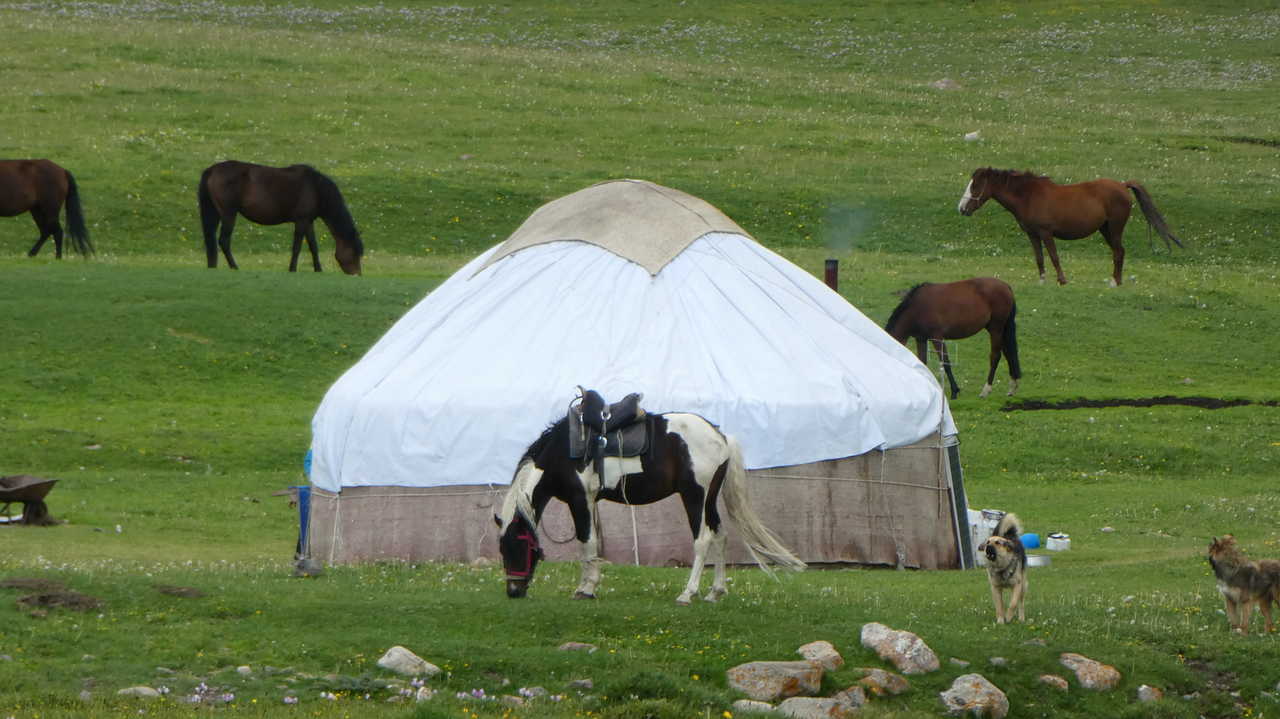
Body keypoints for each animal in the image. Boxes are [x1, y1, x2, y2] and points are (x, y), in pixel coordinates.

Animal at [197, 160, 363, 275]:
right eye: (355, 253)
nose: (357, 275)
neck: (316, 188)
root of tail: (212, 170)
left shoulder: (308, 222)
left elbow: (313, 246)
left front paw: (318, 270)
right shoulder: (301, 221)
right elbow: (297, 247)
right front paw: (292, 269)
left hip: (216, 213)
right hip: (229, 214)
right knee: (224, 241)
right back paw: (235, 267)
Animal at [495, 400, 805, 605]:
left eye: (516, 546)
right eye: (502, 549)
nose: (513, 591)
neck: (564, 451)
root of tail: (720, 436)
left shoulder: (579, 500)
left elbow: (587, 543)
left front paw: (586, 589)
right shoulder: (589, 501)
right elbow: (591, 544)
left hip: (695, 496)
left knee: (703, 539)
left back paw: (688, 593)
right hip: (709, 499)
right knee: (720, 536)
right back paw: (715, 592)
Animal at [885, 277, 1021, 400]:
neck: (916, 308)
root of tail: (1006, 286)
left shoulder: (937, 338)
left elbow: (946, 363)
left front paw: (954, 391)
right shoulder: (921, 339)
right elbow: (923, 362)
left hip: (996, 328)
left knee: (995, 356)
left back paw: (986, 390)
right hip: (1001, 329)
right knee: (1008, 353)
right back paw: (1012, 387)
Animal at [957, 167, 1182, 287]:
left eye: (975, 186)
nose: (961, 208)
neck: (1029, 196)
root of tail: (1122, 185)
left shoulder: (1046, 233)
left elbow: (1054, 256)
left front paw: (1062, 280)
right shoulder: (1032, 235)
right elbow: (1039, 258)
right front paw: (1042, 281)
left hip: (1115, 228)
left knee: (1119, 252)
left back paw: (1115, 282)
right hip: (1105, 229)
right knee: (1118, 252)